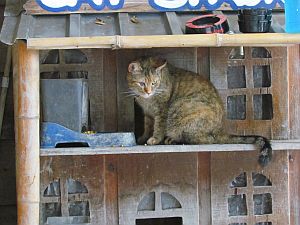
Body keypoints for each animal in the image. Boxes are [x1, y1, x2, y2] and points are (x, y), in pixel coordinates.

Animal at [126, 56, 272, 165]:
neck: (147, 100)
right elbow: (147, 125)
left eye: (154, 83)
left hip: (182, 109)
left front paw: (155, 139)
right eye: (142, 83)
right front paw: (143, 137)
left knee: (207, 140)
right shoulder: (148, 113)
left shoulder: (162, 110)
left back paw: (173, 140)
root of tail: (220, 129)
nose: (148, 92)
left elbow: (158, 127)